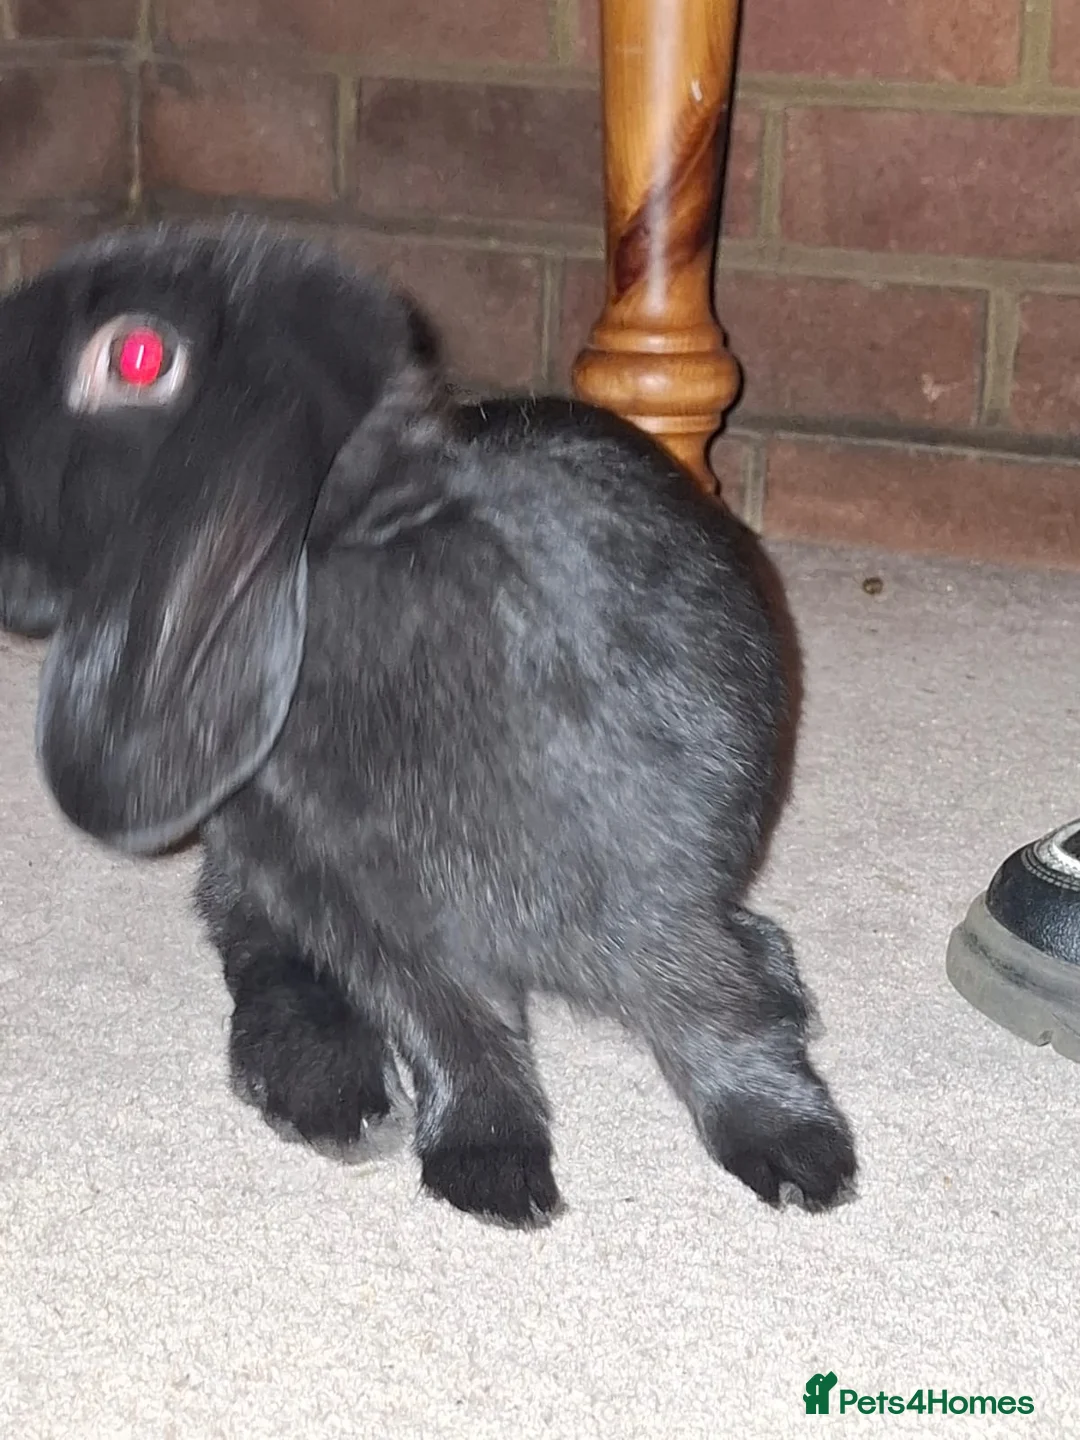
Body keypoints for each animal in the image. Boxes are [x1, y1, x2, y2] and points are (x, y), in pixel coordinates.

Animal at [0, 220, 856, 1226]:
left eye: (136, 357)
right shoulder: (386, 931)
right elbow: (459, 1034)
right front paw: (493, 1172)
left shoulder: (652, 895)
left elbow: (709, 1007)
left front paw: (800, 1155)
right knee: (260, 954)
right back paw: (325, 1092)